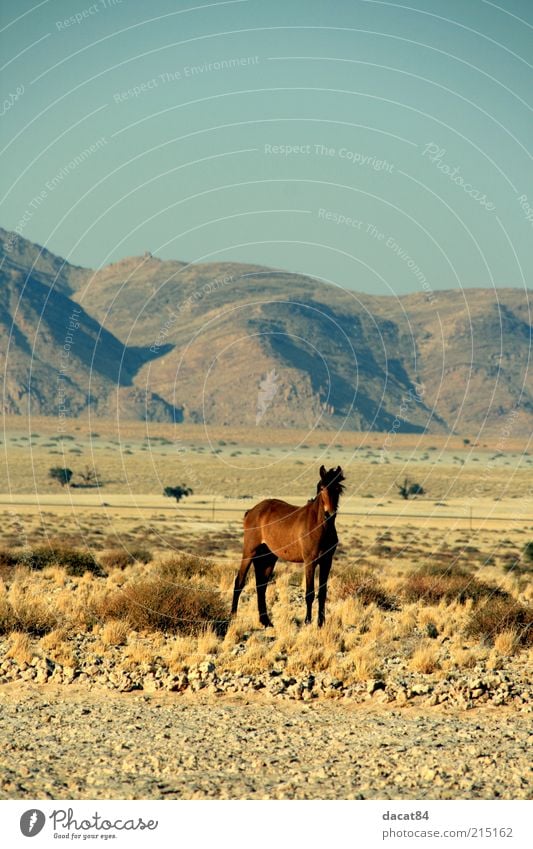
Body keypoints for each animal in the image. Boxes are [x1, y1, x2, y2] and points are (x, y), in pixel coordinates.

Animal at [230, 468, 344, 628]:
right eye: (322, 488)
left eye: (338, 489)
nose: (330, 513)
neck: (320, 525)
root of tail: (252, 511)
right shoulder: (310, 561)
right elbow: (310, 593)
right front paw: (308, 622)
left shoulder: (327, 561)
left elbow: (322, 593)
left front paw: (321, 623)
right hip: (249, 552)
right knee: (239, 582)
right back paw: (233, 616)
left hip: (268, 557)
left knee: (261, 586)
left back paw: (266, 621)